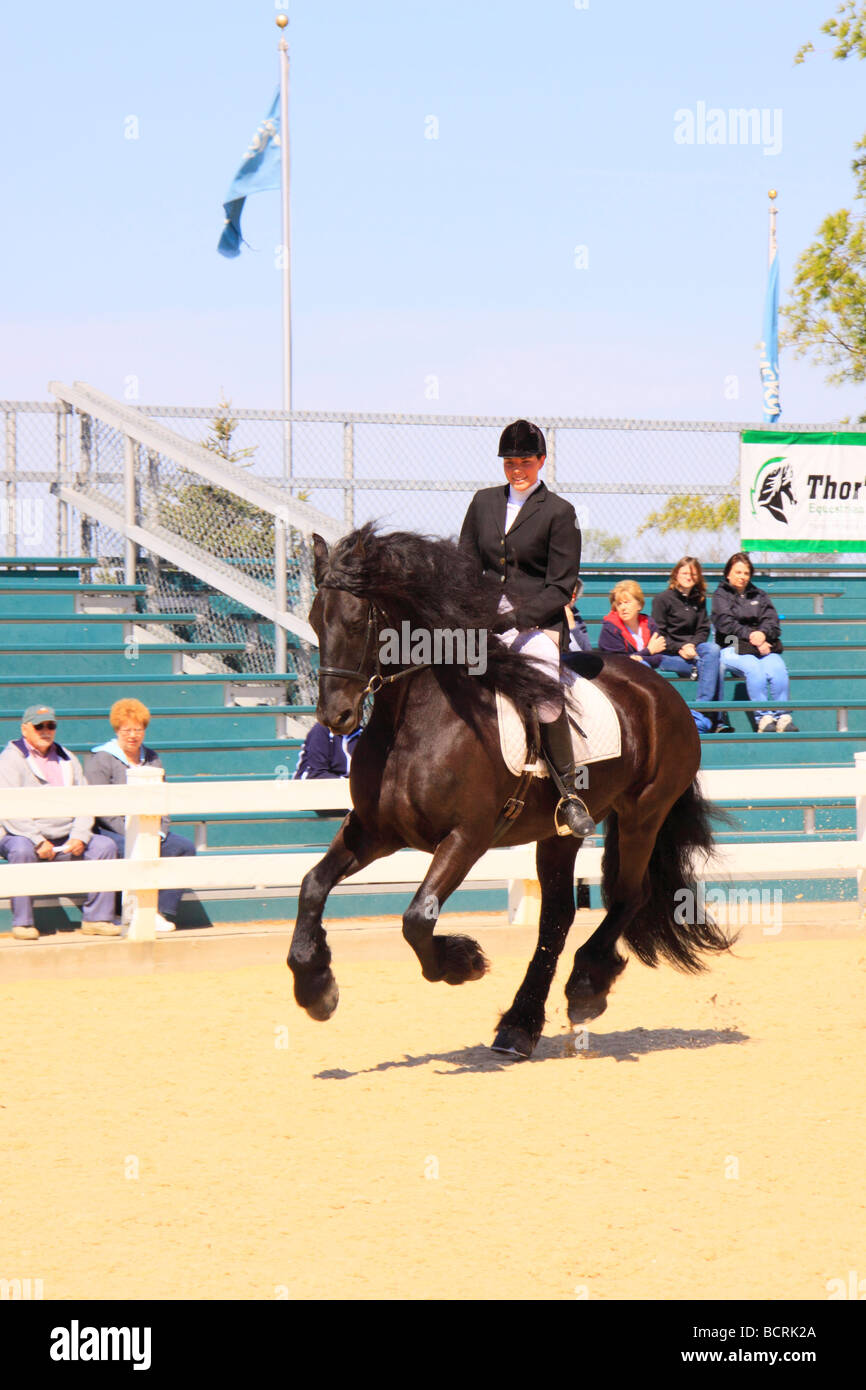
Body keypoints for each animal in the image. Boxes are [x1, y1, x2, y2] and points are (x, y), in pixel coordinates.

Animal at [287, 524, 731, 1059]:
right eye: (316, 620)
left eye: (356, 622)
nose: (336, 718)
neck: (413, 724)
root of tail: (661, 690)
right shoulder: (375, 832)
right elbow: (312, 885)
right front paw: (316, 987)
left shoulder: (467, 837)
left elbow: (417, 919)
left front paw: (464, 962)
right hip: (561, 833)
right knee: (558, 915)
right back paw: (520, 1026)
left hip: (643, 813)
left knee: (629, 895)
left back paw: (585, 988)